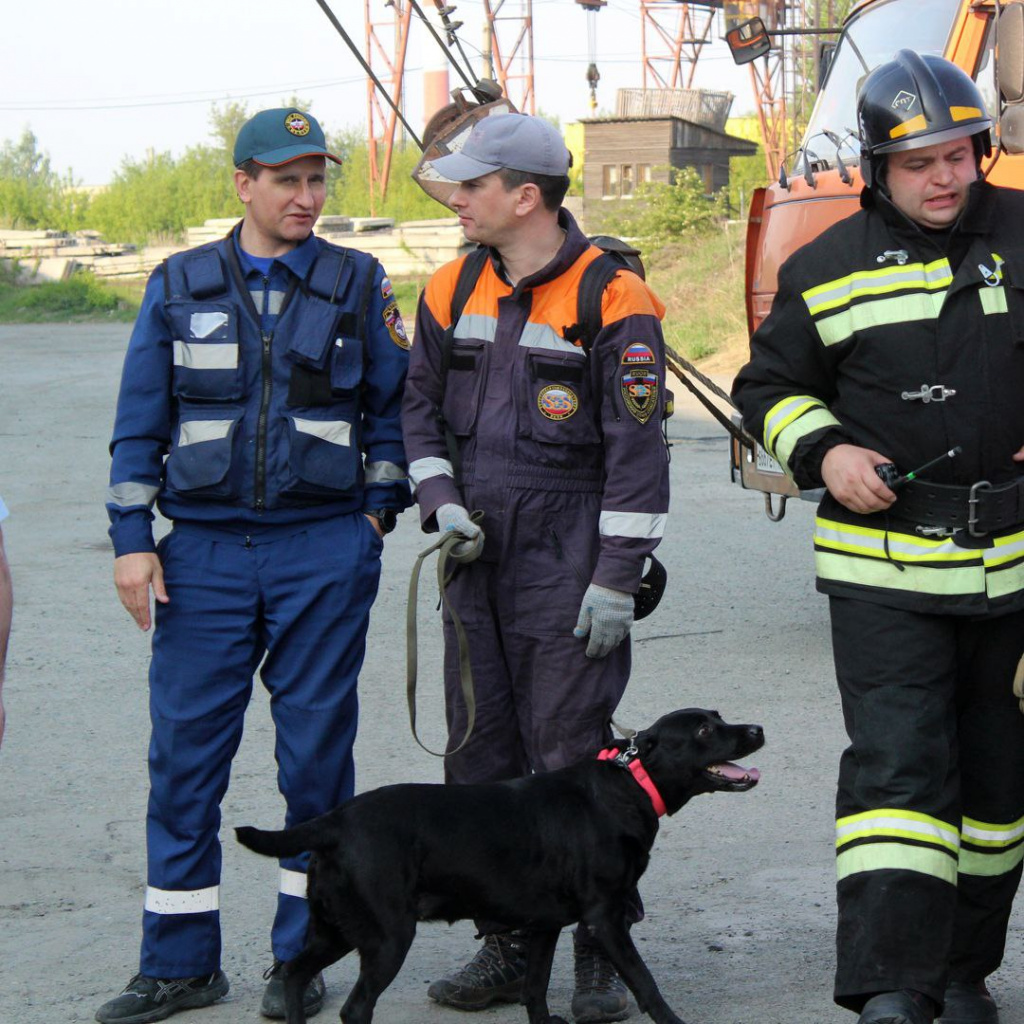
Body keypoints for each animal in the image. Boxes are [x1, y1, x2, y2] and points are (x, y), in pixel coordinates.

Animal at [237, 708, 761, 1019]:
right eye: (703, 730)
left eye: (718, 717)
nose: (757, 730)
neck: (629, 784)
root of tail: (334, 821)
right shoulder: (606, 918)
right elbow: (646, 985)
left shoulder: (546, 923)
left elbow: (534, 988)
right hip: (386, 938)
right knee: (354, 1007)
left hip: (336, 928)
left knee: (295, 974)